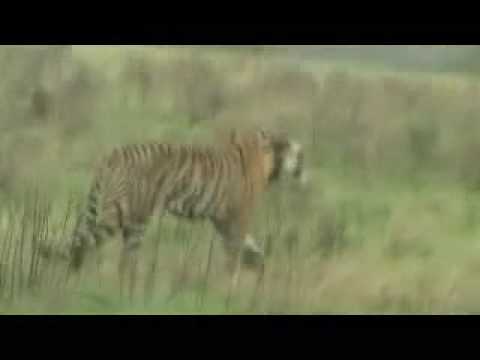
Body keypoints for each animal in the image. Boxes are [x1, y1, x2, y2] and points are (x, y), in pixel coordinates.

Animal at [48, 128, 306, 296]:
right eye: (301, 157)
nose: (306, 172)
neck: (269, 158)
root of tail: (112, 155)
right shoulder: (237, 219)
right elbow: (234, 255)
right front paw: (232, 289)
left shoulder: (223, 221)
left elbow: (250, 248)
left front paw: (257, 269)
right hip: (132, 217)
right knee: (118, 257)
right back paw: (129, 293)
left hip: (123, 217)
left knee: (99, 249)